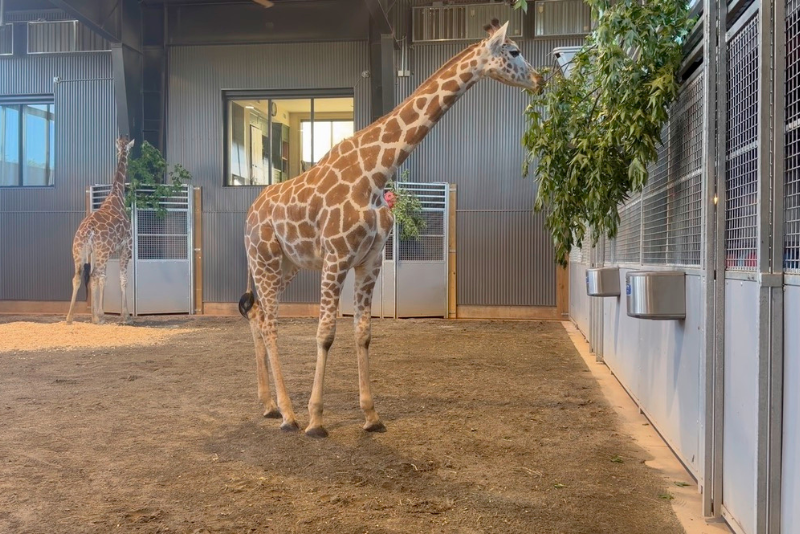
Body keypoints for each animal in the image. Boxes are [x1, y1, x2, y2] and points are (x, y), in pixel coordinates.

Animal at [66, 136, 135, 325]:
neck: (117, 197)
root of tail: (87, 231)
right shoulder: (126, 247)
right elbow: (122, 279)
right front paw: (125, 315)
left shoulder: (99, 251)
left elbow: (100, 279)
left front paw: (97, 313)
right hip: (102, 252)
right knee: (96, 275)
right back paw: (99, 317)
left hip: (79, 251)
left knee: (79, 277)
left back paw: (70, 317)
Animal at [239, 19, 543, 437]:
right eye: (514, 52)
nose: (540, 79)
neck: (374, 173)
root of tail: (249, 216)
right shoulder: (336, 259)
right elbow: (325, 333)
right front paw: (316, 419)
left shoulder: (370, 262)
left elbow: (363, 334)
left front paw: (371, 416)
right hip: (266, 261)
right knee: (269, 324)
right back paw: (289, 414)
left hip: (285, 265)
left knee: (256, 316)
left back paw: (268, 404)